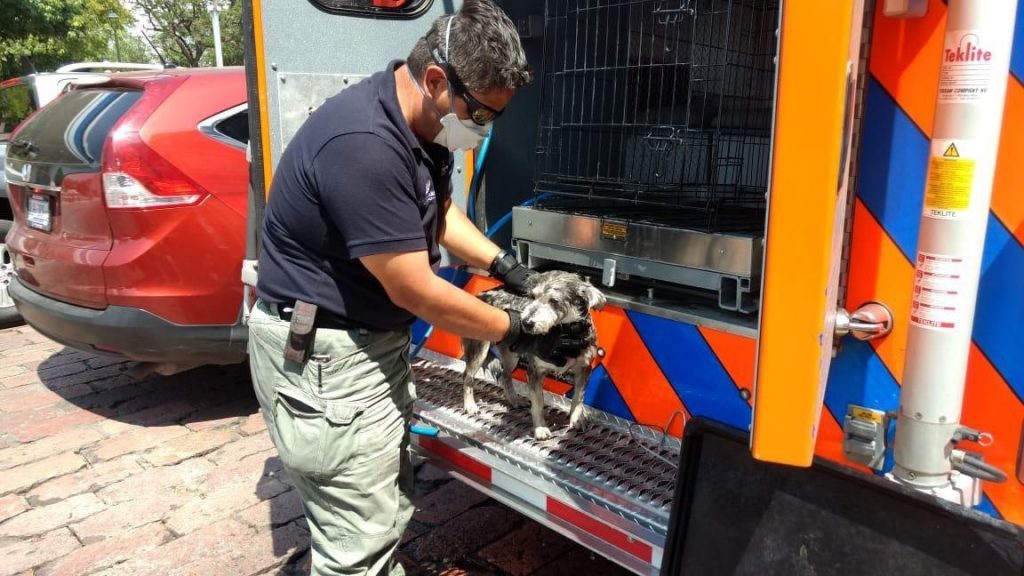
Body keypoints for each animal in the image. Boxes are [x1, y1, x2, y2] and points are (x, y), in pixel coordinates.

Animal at [460, 270, 602, 438]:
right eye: (532, 297)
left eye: (554, 301)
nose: (526, 323)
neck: (565, 333)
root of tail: (480, 295)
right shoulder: (535, 370)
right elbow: (538, 403)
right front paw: (540, 428)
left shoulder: (584, 368)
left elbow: (578, 397)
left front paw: (577, 418)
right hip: (479, 348)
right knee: (468, 376)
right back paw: (470, 405)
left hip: (512, 355)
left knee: (505, 375)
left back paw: (514, 400)